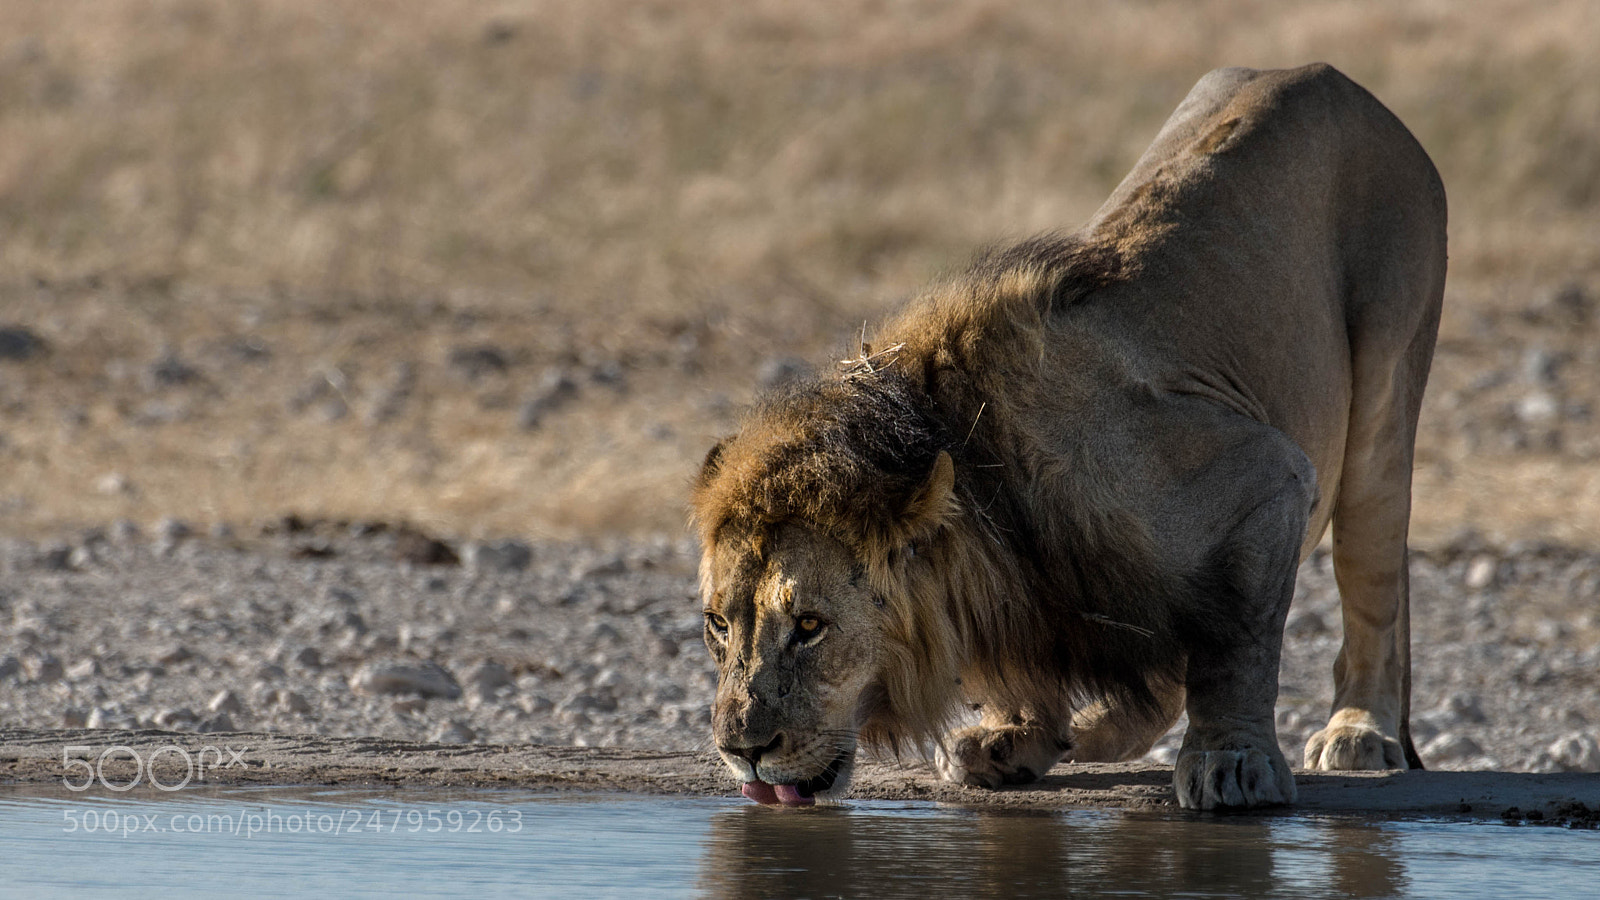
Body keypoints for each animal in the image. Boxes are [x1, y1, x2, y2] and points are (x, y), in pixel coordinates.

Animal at [690, 64, 1445, 810]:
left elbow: (1235, 644)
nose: (740, 750)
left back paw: (1358, 732)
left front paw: (1230, 758)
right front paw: (1015, 735)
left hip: (1382, 398)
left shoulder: (1266, 477)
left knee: (1372, 590)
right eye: (718, 625)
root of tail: (1324, 75)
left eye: (810, 626)